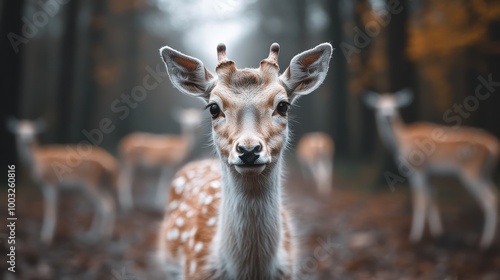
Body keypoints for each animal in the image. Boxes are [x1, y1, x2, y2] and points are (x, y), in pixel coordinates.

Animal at [364, 89, 500, 247]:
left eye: (395, 105)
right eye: (378, 106)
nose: (387, 115)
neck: (400, 141)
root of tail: (494, 146)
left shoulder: (418, 169)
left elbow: (420, 200)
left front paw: (415, 237)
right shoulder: (430, 174)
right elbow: (432, 198)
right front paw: (437, 234)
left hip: (472, 170)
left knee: (489, 200)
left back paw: (485, 242)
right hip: (485, 173)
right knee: (495, 194)